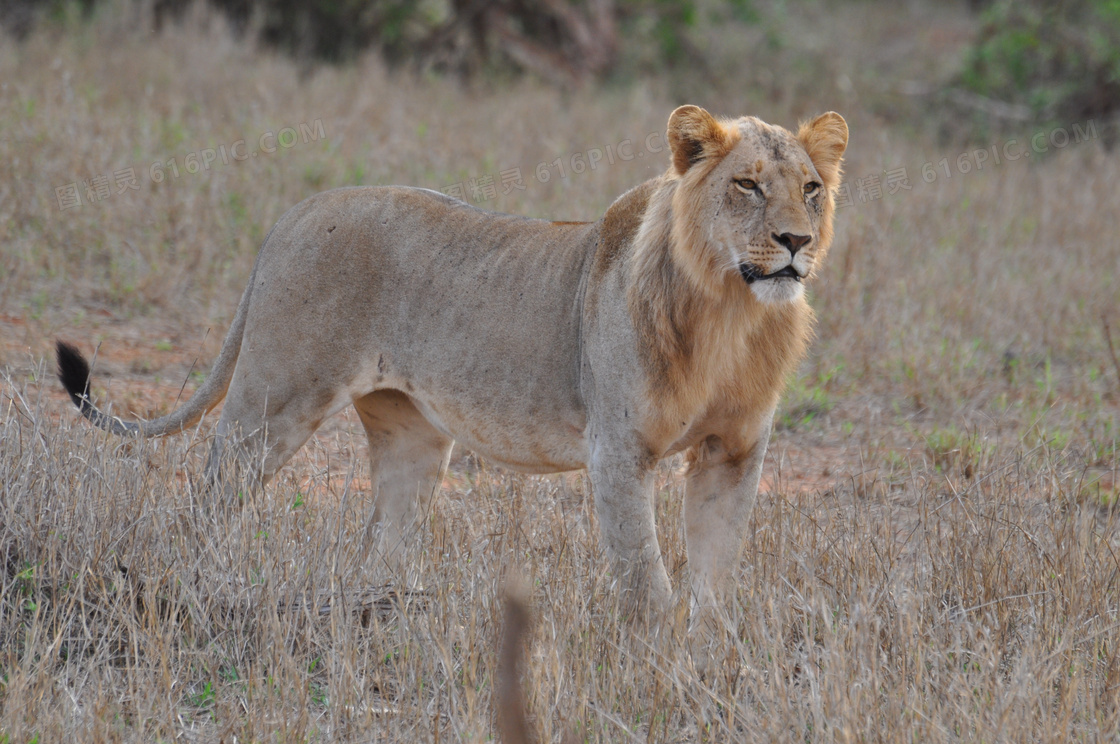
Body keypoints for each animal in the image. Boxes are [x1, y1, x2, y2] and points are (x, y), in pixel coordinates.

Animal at [56, 103, 842, 640]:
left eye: (810, 188)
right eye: (746, 185)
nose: (796, 241)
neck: (730, 314)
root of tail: (294, 214)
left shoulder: (734, 452)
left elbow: (716, 566)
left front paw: (712, 648)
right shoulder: (619, 451)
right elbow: (645, 576)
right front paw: (656, 658)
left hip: (411, 437)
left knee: (381, 539)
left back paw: (379, 618)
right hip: (275, 399)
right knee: (212, 495)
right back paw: (198, 586)